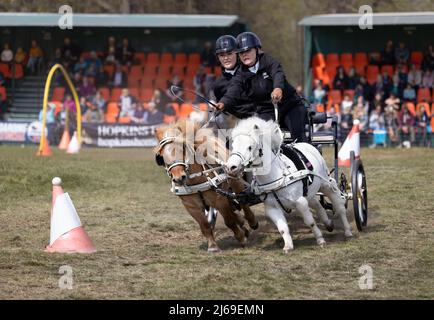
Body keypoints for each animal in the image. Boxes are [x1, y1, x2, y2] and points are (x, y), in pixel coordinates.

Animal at [154, 119, 258, 251]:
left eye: (183, 148)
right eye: (161, 155)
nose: (178, 178)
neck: (196, 180)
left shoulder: (218, 200)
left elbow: (229, 220)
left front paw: (241, 238)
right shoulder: (191, 206)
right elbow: (204, 225)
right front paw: (213, 246)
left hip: (235, 182)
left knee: (243, 202)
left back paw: (252, 222)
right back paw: (243, 226)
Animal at [227, 117, 352, 252]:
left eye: (250, 147)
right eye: (233, 146)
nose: (231, 167)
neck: (277, 177)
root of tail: (308, 145)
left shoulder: (300, 202)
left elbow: (310, 222)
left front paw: (320, 240)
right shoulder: (272, 208)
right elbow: (282, 228)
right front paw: (288, 246)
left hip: (326, 184)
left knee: (339, 205)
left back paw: (348, 231)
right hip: (310, 192)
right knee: (317, 204)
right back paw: (328, 224)